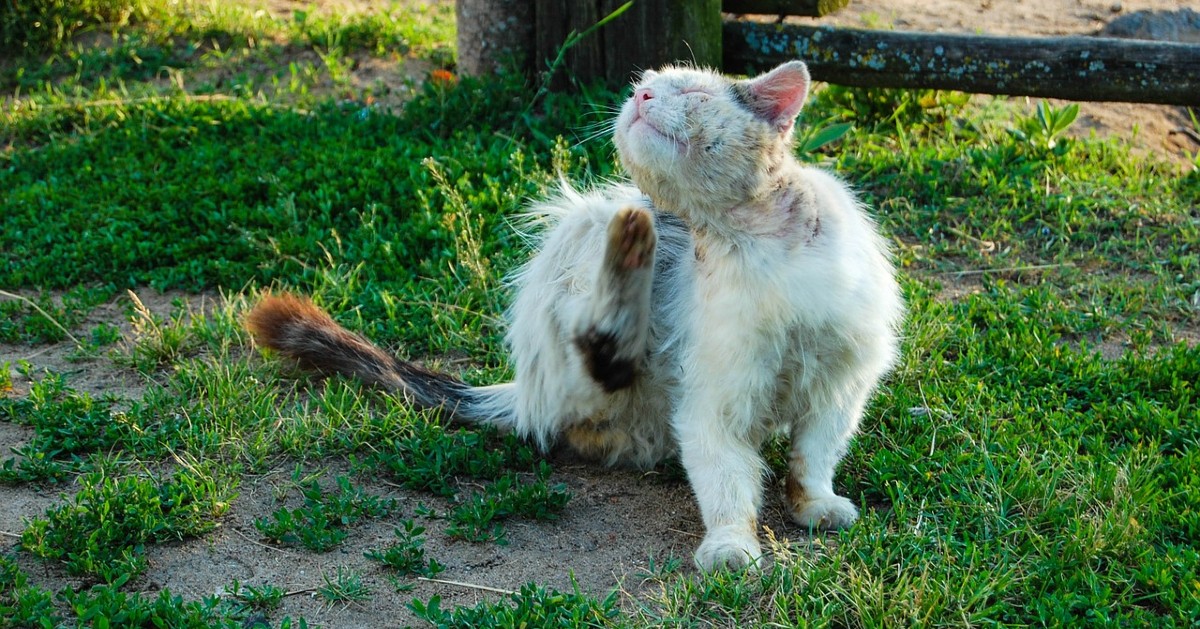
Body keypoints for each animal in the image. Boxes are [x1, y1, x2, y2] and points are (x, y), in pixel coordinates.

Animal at [246, 61, 902, 571]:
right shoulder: (713, 403)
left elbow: (812, 457)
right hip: (585, 227)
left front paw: (815, 505)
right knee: (594, 354)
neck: (752, 243)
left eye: (689, 92)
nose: (640, 97)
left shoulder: (841, 386)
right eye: (644, 86)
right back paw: (630, 251)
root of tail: (522, 389)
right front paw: (730, 545)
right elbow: (725, 482)